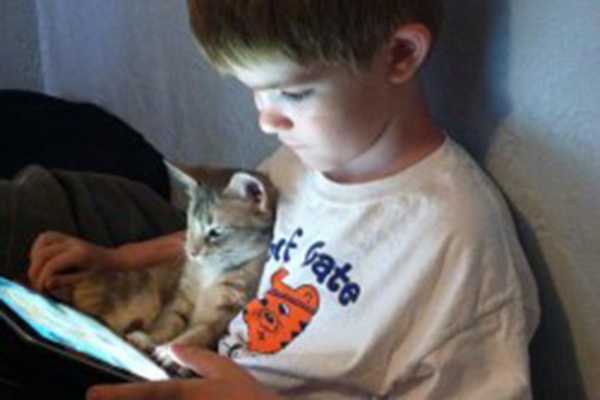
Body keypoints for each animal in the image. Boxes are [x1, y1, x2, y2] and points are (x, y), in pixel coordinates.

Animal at [69, 165, 276, 372]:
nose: (191, 252)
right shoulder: (182, 296)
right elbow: (169, 321)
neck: (210, 272)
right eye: (190, 225)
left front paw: (170, 352)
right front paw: (150, 339)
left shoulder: (225, 314)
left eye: (215, 232)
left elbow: (198, 334)